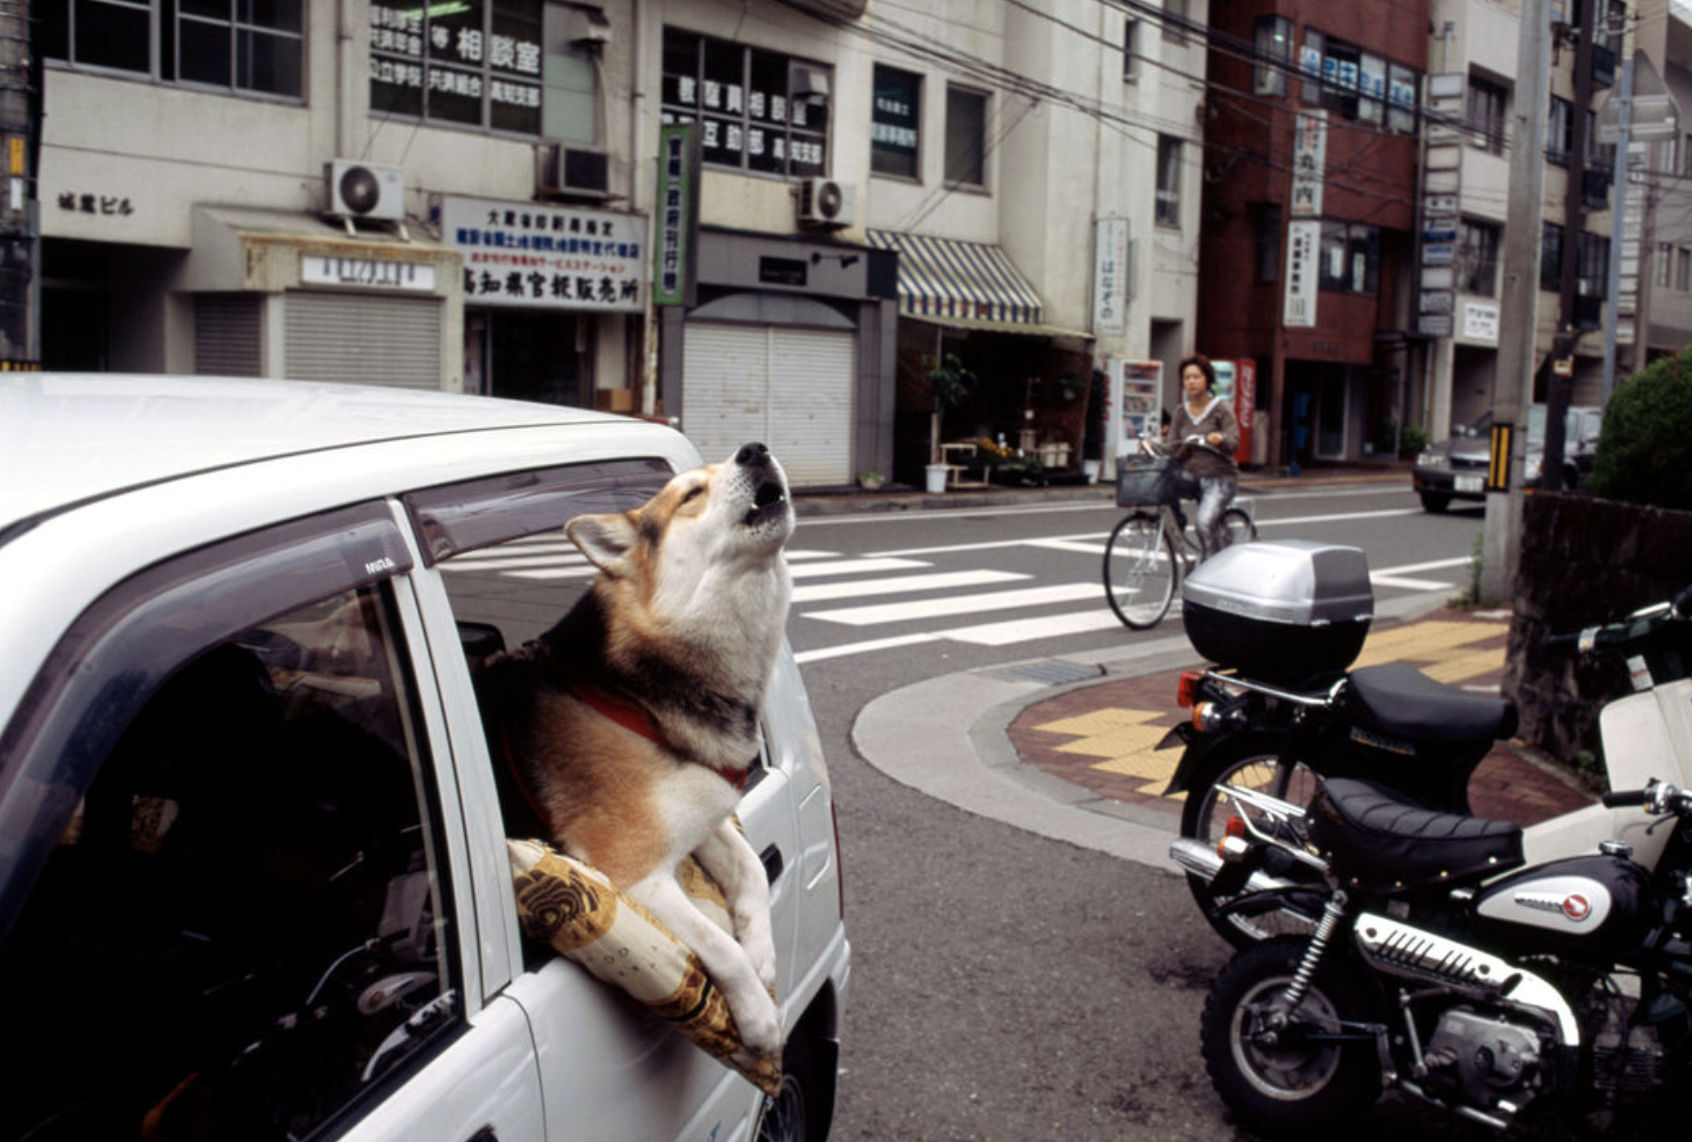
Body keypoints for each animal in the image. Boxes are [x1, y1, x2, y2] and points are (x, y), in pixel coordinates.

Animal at [477, 443, 791, 1055]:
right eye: (691, 494)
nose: (756, 449)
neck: (632, 692)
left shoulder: (701, 812)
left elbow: (751, 868)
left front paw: (764, 952)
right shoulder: (636, 871)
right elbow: (717, 945)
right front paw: (757, 1017)